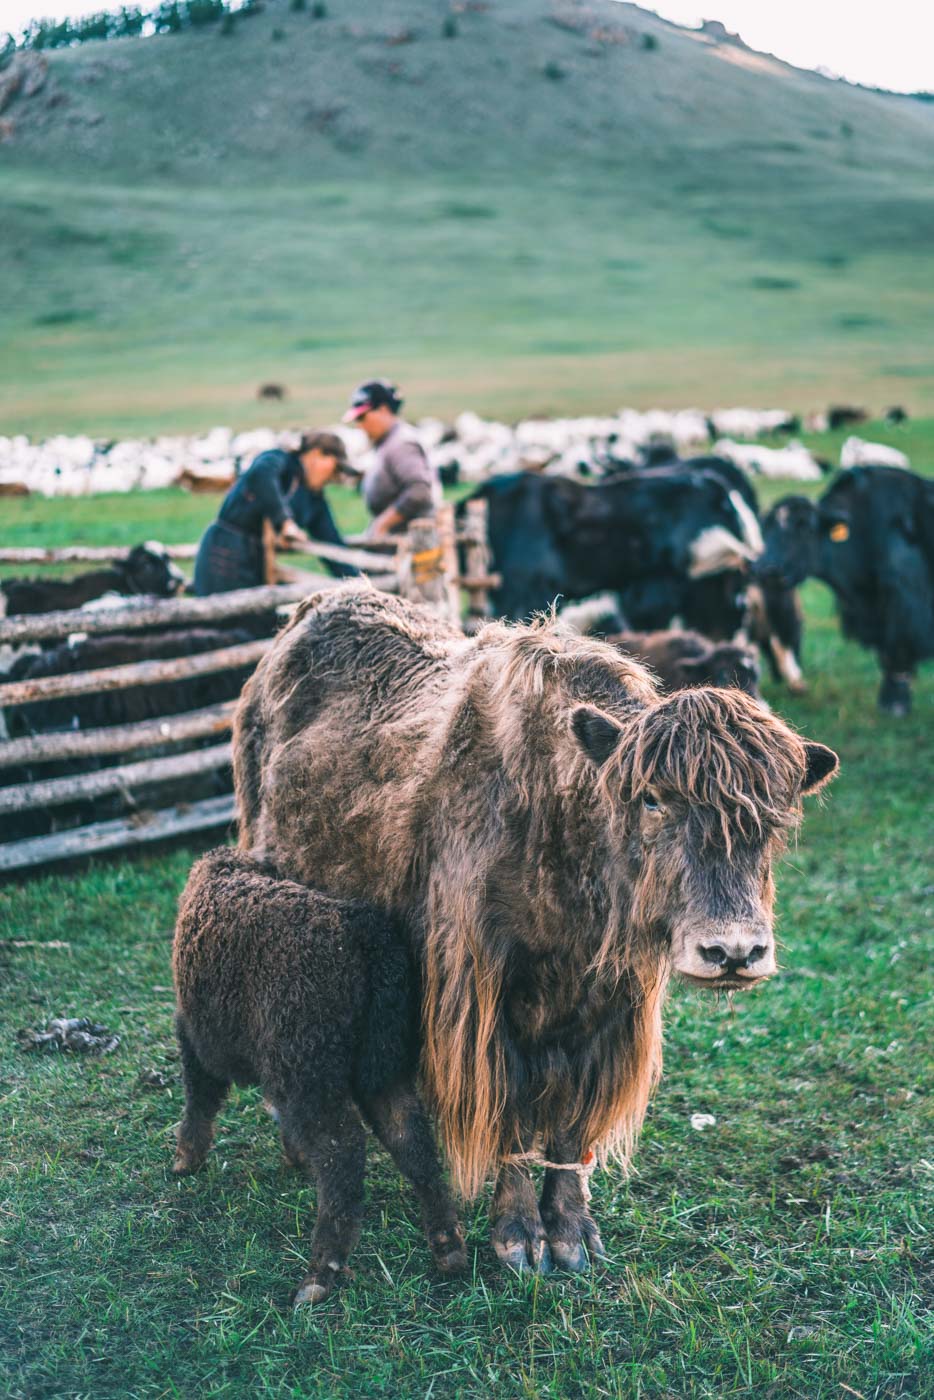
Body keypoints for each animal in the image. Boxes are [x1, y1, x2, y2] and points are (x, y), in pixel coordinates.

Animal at [171, 845, 464, 1304]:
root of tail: (365, 932)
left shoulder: (195, 1037)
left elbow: (199, 1098)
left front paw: (185, 1158)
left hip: (312, 1080)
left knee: (343, 1155)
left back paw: (319, 1273)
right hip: (381, 1071)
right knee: (411, 1139)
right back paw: (448, 1247)